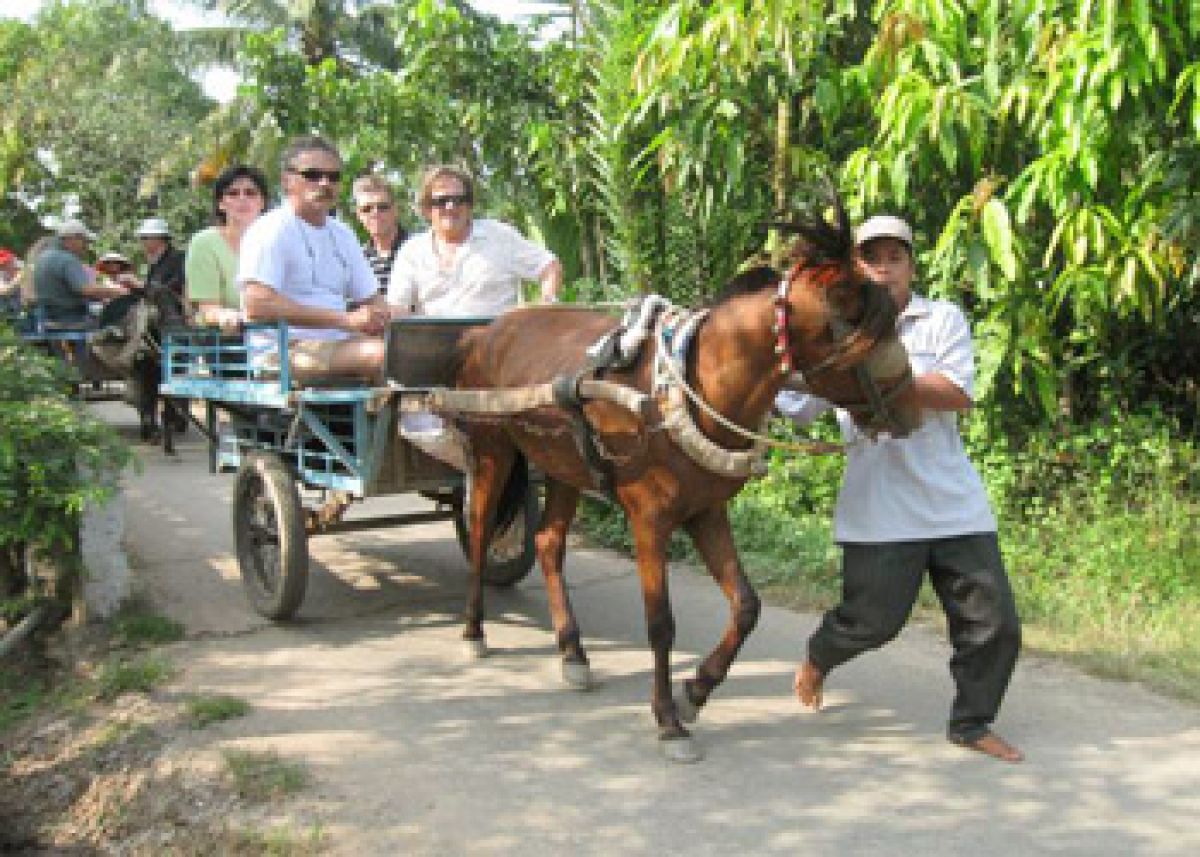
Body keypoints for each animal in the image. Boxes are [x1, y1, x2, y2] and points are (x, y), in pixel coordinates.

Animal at [451, 201, 916, 763]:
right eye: (869, 333)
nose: (914, 409)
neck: (690, 387)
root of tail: (488, 329)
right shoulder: (649, 521)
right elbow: (660, 624)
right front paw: (668, 720)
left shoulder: (705, 511)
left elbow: (747, 606)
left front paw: (695, 691)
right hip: (491, 450)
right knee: (479, 531)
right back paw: (474, 629)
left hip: (564, 466)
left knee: (547, 542)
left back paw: (573, 652)